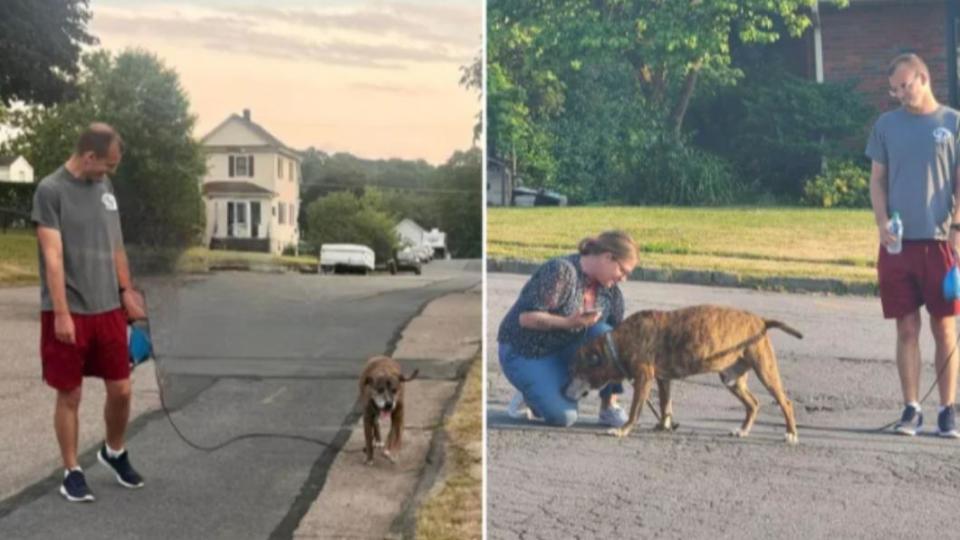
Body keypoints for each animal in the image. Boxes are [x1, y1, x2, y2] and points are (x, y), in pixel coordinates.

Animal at [564, 306, 804, 446]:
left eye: (575, 371)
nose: (563, 391)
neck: (618, 343)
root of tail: (761, 321)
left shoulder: (644, 379)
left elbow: (635, 411)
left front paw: (623, 430)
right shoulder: (663, 380)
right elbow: (665, 405)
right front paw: (664, 425)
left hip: (765, 370)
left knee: (786, 402)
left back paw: (791, 434)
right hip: (732, 379)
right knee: (753, 403)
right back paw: (743, 430)